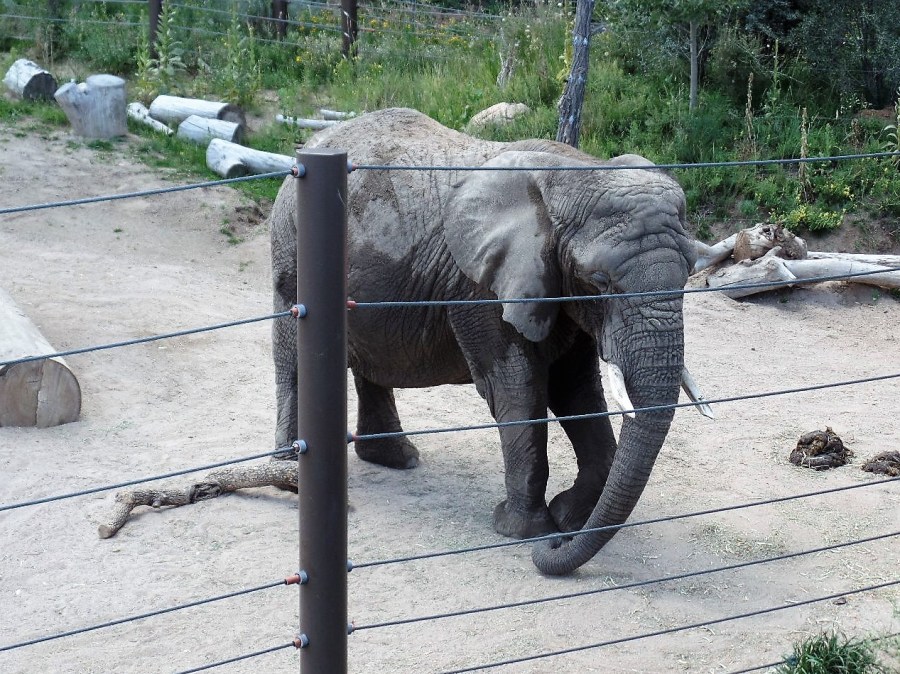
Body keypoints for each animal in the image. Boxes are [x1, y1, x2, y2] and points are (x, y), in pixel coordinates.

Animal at [268, 108, 710, 575]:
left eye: (689, 273)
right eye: (600, 281)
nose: (555, 546)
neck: (574, 172)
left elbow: (576, 391)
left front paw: (570, 518)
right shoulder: (478, 287)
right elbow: (517, 389)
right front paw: (526, 531)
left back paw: (396, 458)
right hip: (291, 247)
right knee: (294, 357)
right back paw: (291, 476)